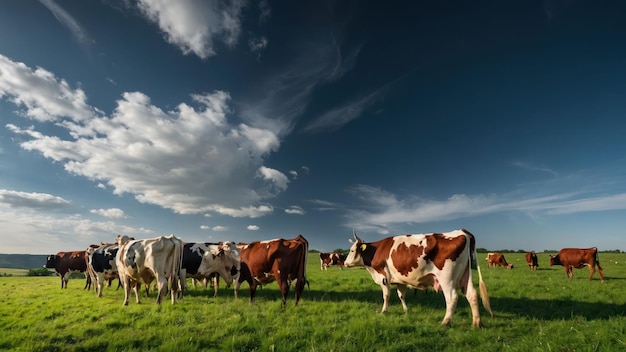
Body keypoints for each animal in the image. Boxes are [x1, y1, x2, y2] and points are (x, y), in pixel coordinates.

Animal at [342, 228, 492, 328]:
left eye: (352, 250)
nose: (345, 263)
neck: (377, 250)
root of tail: (462, 231)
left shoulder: (384, 276)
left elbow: (386, 296)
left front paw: (384, 311)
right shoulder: (400, 280)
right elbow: (401, 295)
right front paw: (406, 310)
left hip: (447, 279)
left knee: (452, 298)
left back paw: (445, 322)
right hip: (465, 275)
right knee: (472, 295)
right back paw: (476, 323)